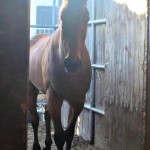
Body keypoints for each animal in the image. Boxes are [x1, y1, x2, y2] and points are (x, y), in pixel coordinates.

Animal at [28, 0, 91, 149]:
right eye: (62, 16)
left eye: (86, 17)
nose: (72, 63)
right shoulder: (54, 97)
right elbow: (59, 137)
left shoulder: (78, 100)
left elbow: (69, 134)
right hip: (32, 88)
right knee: (34, 119)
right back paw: (37, 145)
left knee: (46, 113)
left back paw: (47, 144)